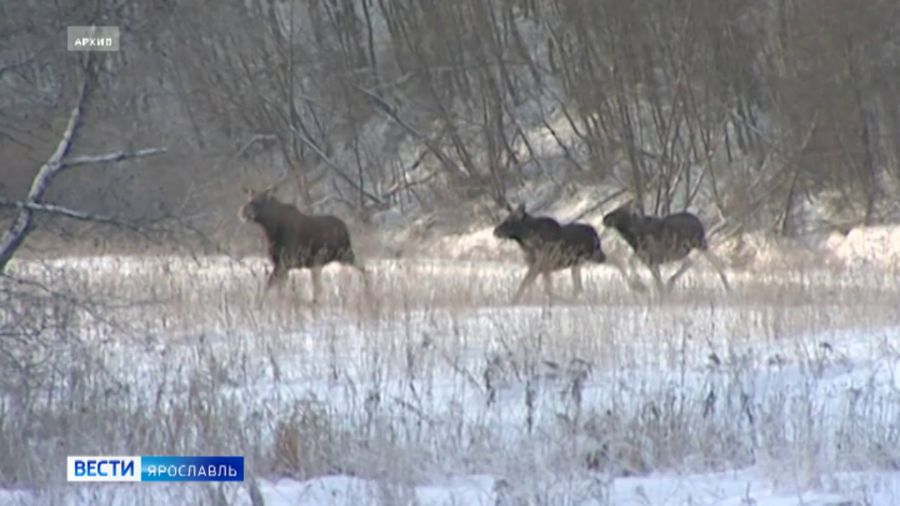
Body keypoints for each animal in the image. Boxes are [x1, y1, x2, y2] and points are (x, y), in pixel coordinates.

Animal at [239, 186, 370, 304]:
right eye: (248, 199)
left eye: (257, 201)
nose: (242, 212)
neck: (270, 228)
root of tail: (345, 227)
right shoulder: (279, 262)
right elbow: (279, 287)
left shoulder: (285, 262)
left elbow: (269, 284)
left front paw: (259, 304)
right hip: (319, 263)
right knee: (320, 285)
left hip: (344, 253)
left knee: (362, 269)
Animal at [600, 201, 728, 292]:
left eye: (620, 211)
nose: (605, 218)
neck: (631, 236)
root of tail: (700, 223)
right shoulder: (648, 259)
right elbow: (632, 262)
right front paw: (640, 285)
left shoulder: (650, 258)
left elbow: (652, 276)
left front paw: (640, 285)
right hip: (690, 248)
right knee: (694, 262)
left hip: (699, 244)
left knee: (710, 262)